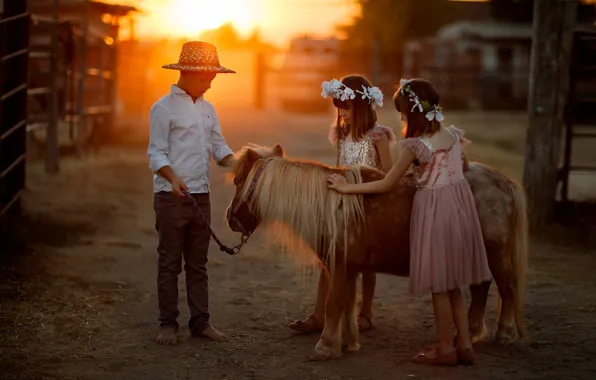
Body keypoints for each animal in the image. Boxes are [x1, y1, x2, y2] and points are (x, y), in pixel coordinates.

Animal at [226, 142, 528, 360]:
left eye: (239, 180)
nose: (231, 219)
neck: (331, 206)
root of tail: (504, 182)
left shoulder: (341, 266)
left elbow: (334, 303)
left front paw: (326, 347)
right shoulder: (346, 267)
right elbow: (347, 302)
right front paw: (347, 342)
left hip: (496, 255)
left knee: (508, 289)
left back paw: (503, 335)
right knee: (481, 288)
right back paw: (470, 334)